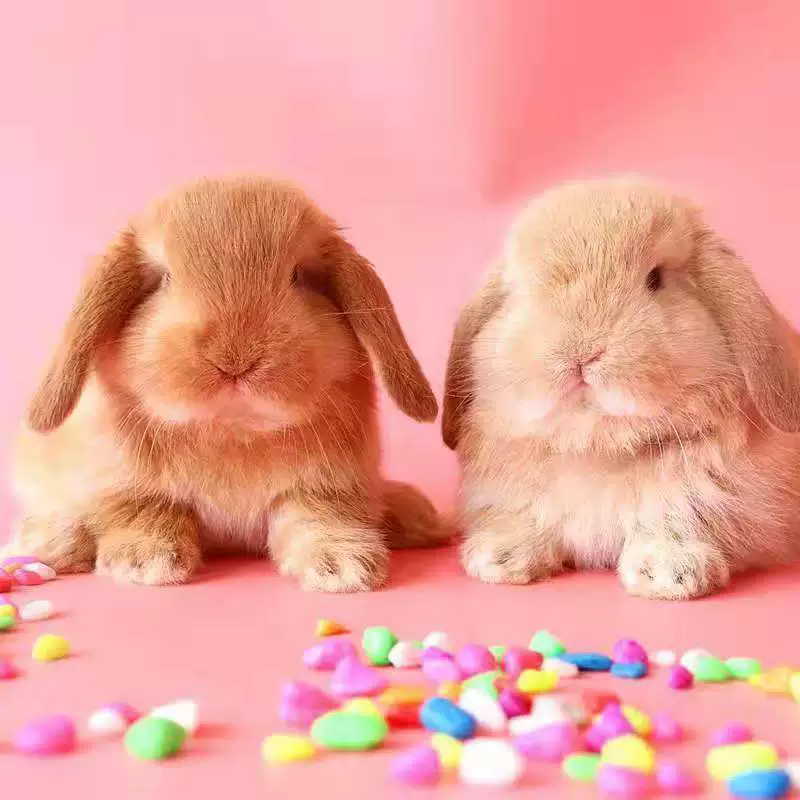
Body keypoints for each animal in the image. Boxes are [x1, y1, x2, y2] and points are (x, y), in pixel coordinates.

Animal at [7, 176, 448, 591]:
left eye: (300, 276)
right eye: (162, 279)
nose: (235, 357)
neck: (233, 431)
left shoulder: (327, 486)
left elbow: (321, 519)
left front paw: (343, 567)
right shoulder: (124, 485)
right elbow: (143, 512)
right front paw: (146, 562)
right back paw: (45, 541)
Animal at [442, 177, 800, 600]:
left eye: (655, 279)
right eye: (522, 293)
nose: (581, 352)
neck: (597, 445)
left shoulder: (706, 501)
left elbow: (671, 522)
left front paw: (669, 573)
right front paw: (499, 557)